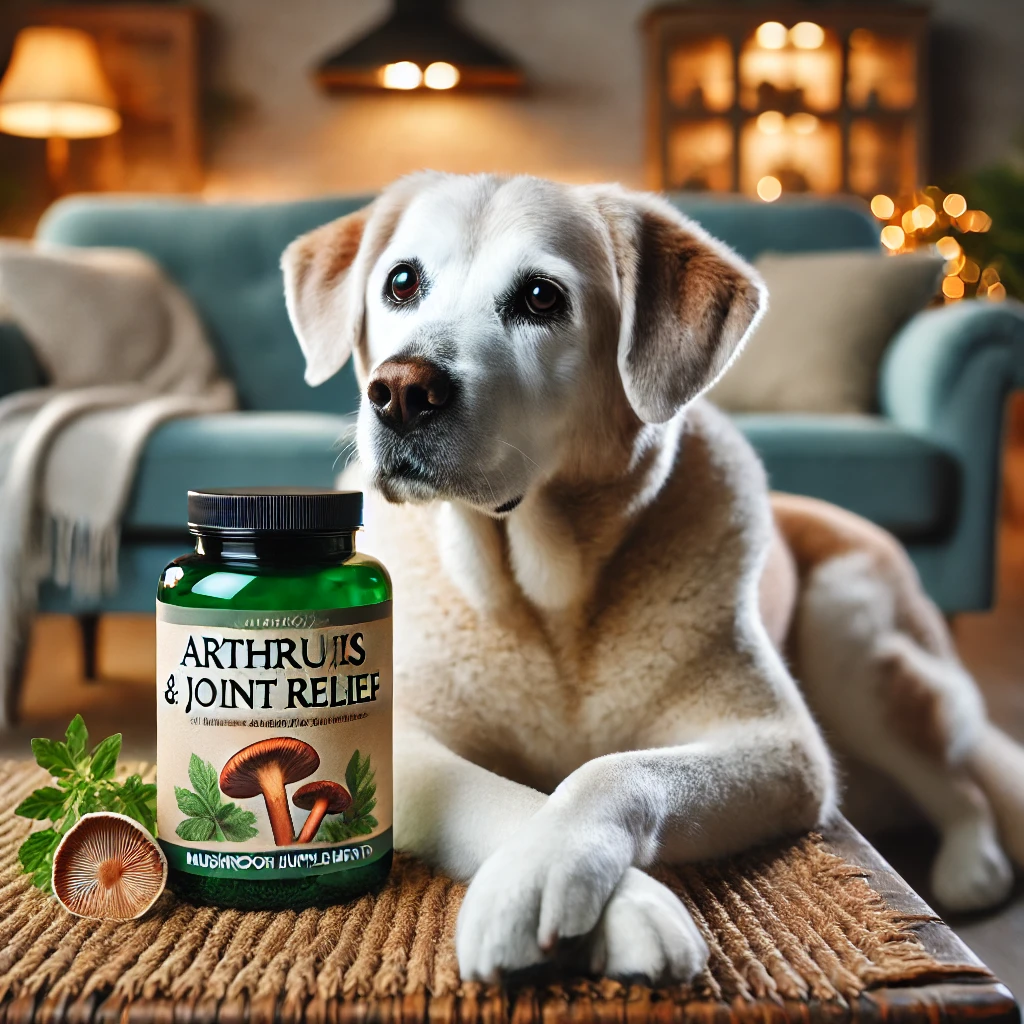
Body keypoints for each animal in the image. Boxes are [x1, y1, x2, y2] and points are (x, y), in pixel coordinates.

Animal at [280, 174, 1024, 983]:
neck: (549, 599)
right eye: (401, 283)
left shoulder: (778, 744)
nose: (401, 390)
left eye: (540, 298)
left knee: (960, 779)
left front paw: (547, 870)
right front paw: (618, 901)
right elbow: (498, 793)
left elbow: (613, 770)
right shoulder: (409, 741)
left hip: (855, 638)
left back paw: (972, 866)